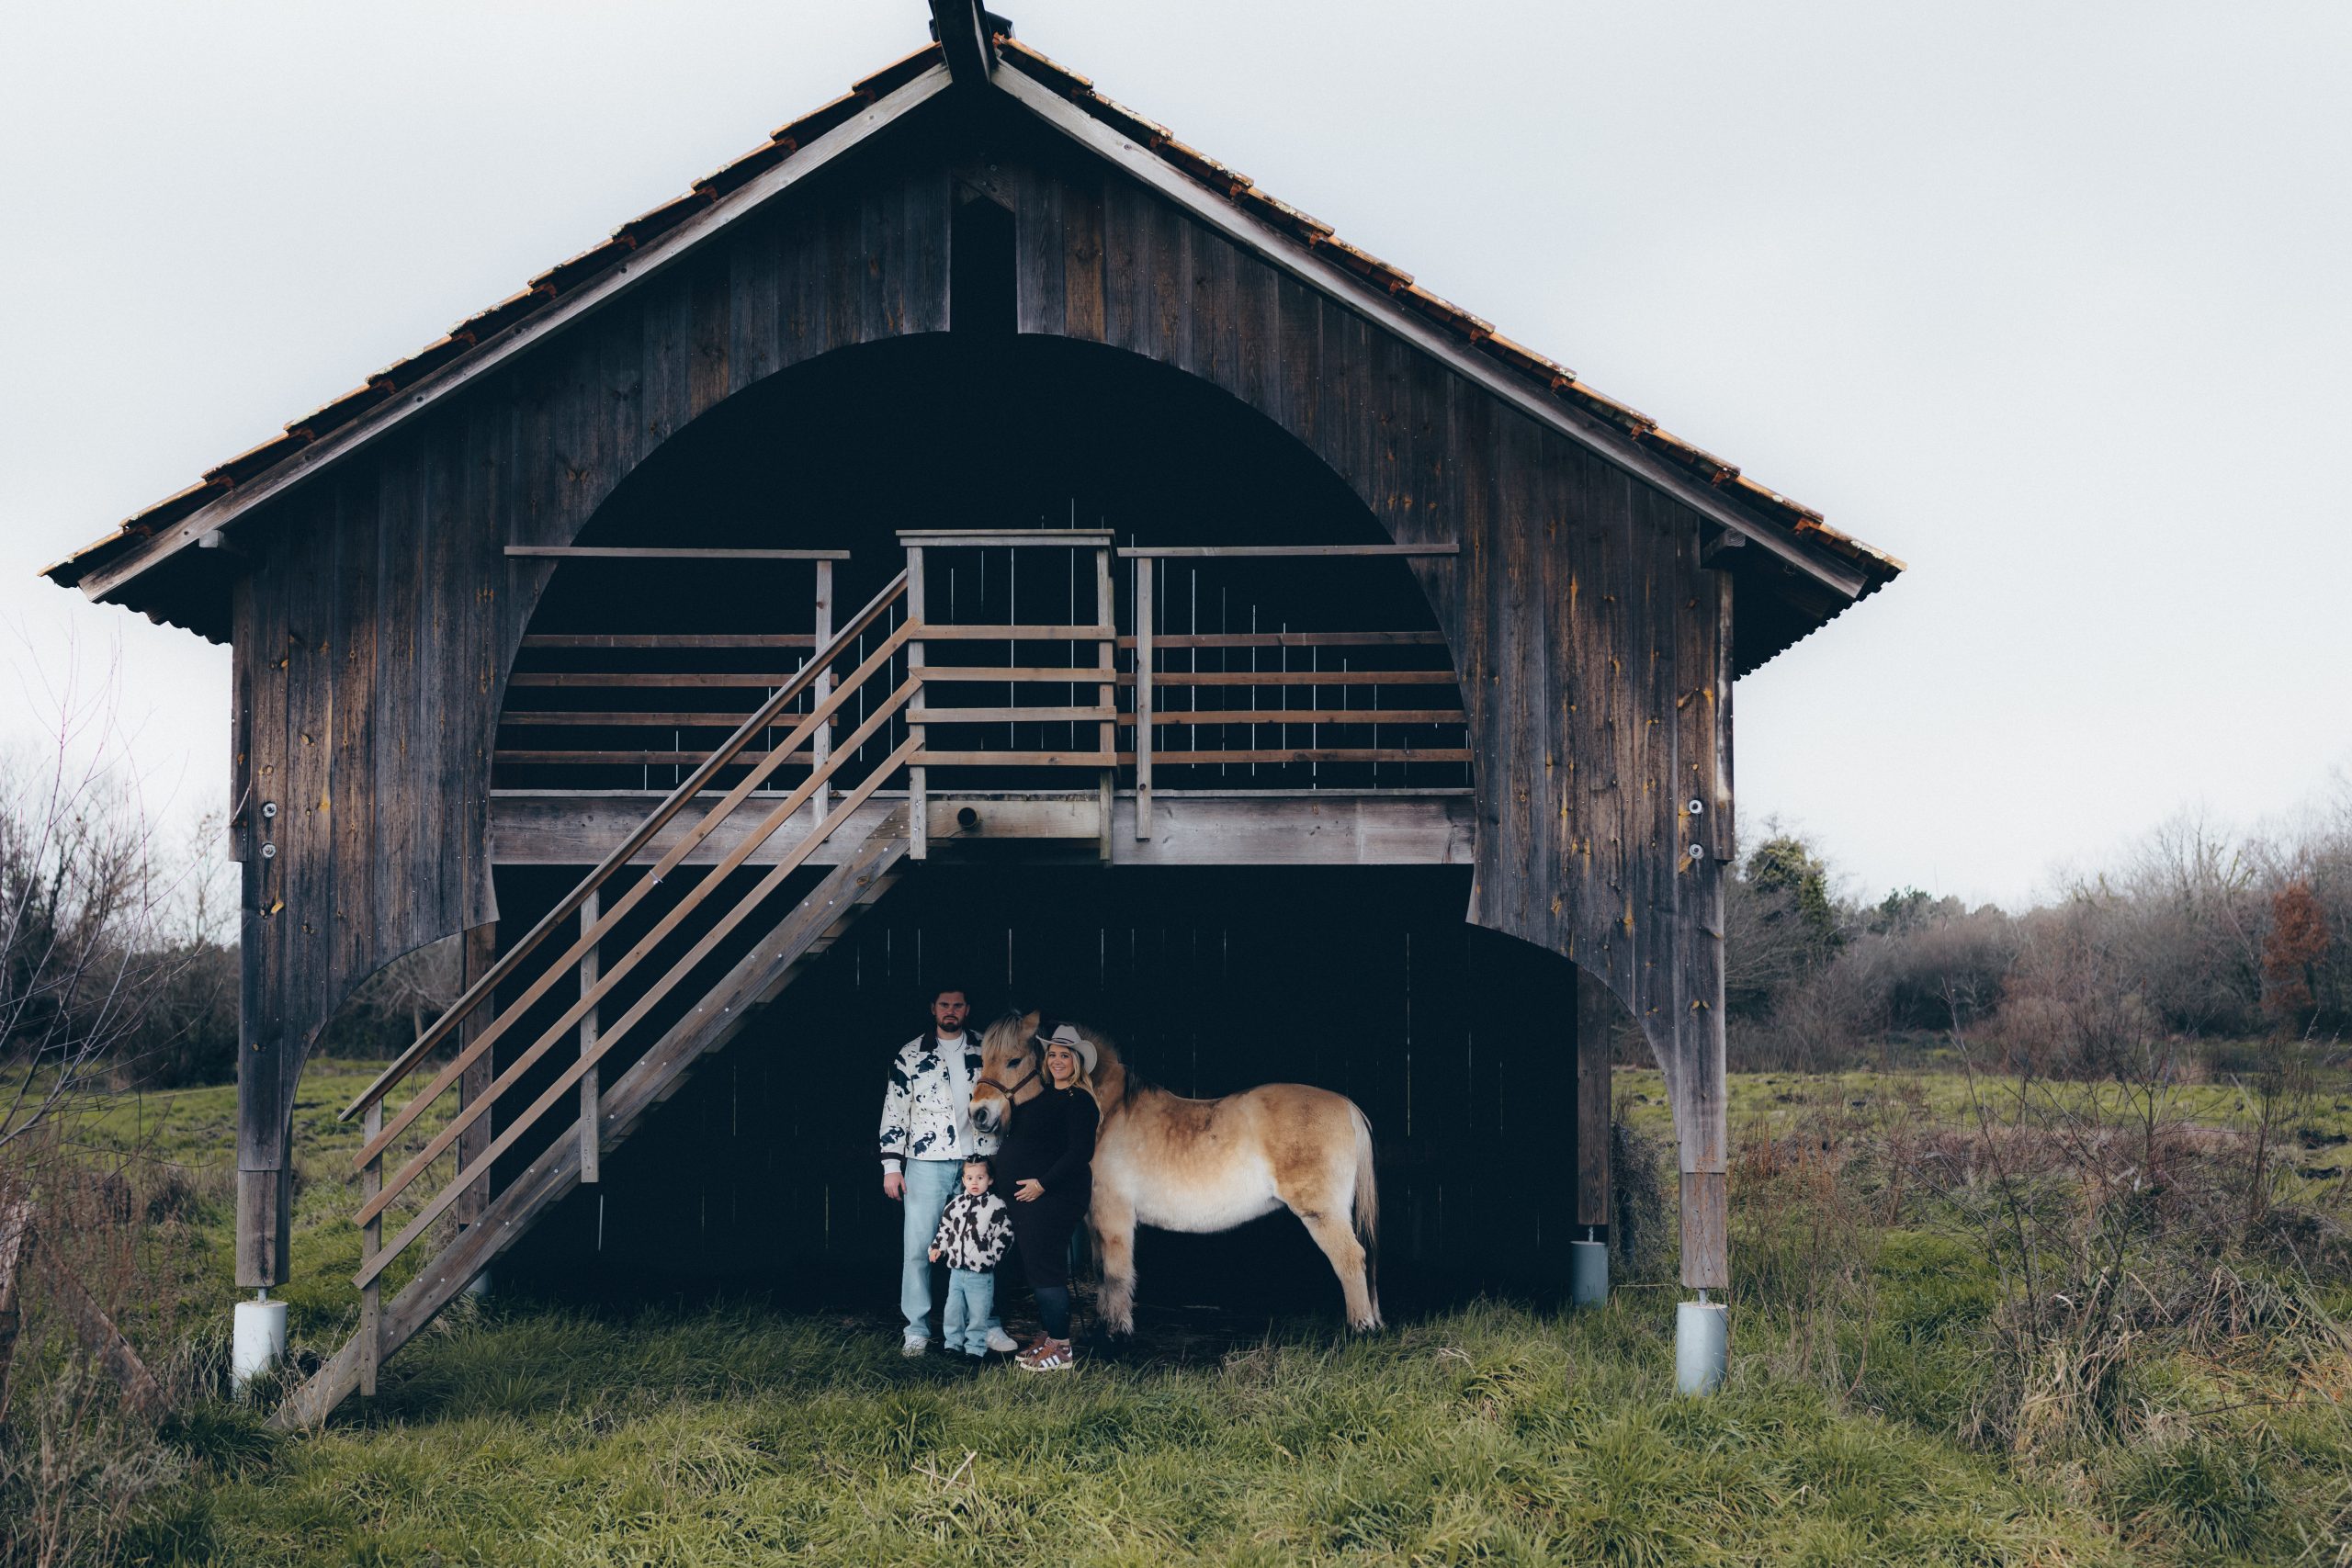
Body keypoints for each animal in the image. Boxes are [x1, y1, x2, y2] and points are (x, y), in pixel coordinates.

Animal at [968, 1011, 1382, 1333]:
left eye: (1014, 1060)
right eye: (983, 1057)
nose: (978, 1114)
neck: (1106, 1114)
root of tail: (1347, 1106)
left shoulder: (1114, 1215)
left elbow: (1116, 1273)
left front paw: (1118, 1332)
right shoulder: (1095, 1218)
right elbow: (1102, 1272)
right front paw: (1105, 1322)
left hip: (1322, 1213)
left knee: (1351, 1259)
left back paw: (1360, 1329)